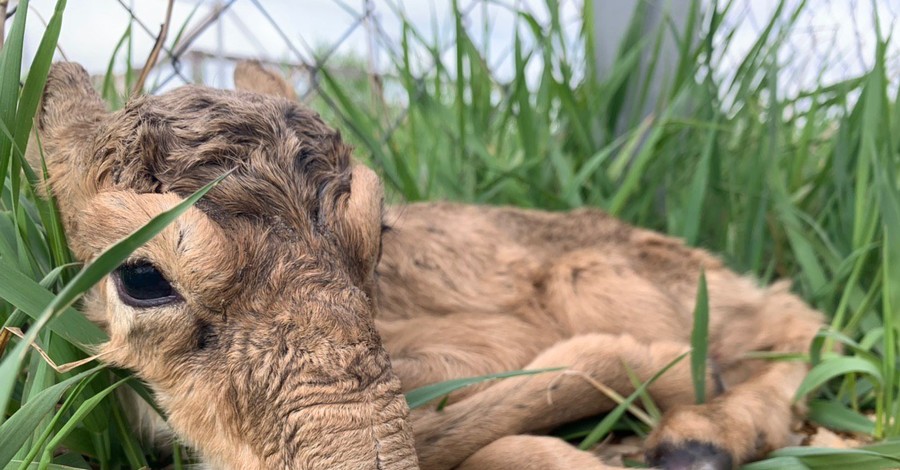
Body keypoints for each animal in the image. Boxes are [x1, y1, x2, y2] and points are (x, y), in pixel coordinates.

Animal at [29, 62, 824, 470]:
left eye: (379, 232)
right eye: (140, 278)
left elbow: (461, 415)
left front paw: (654, 376)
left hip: (605, 279)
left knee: (798, 324)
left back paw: (702, 433)